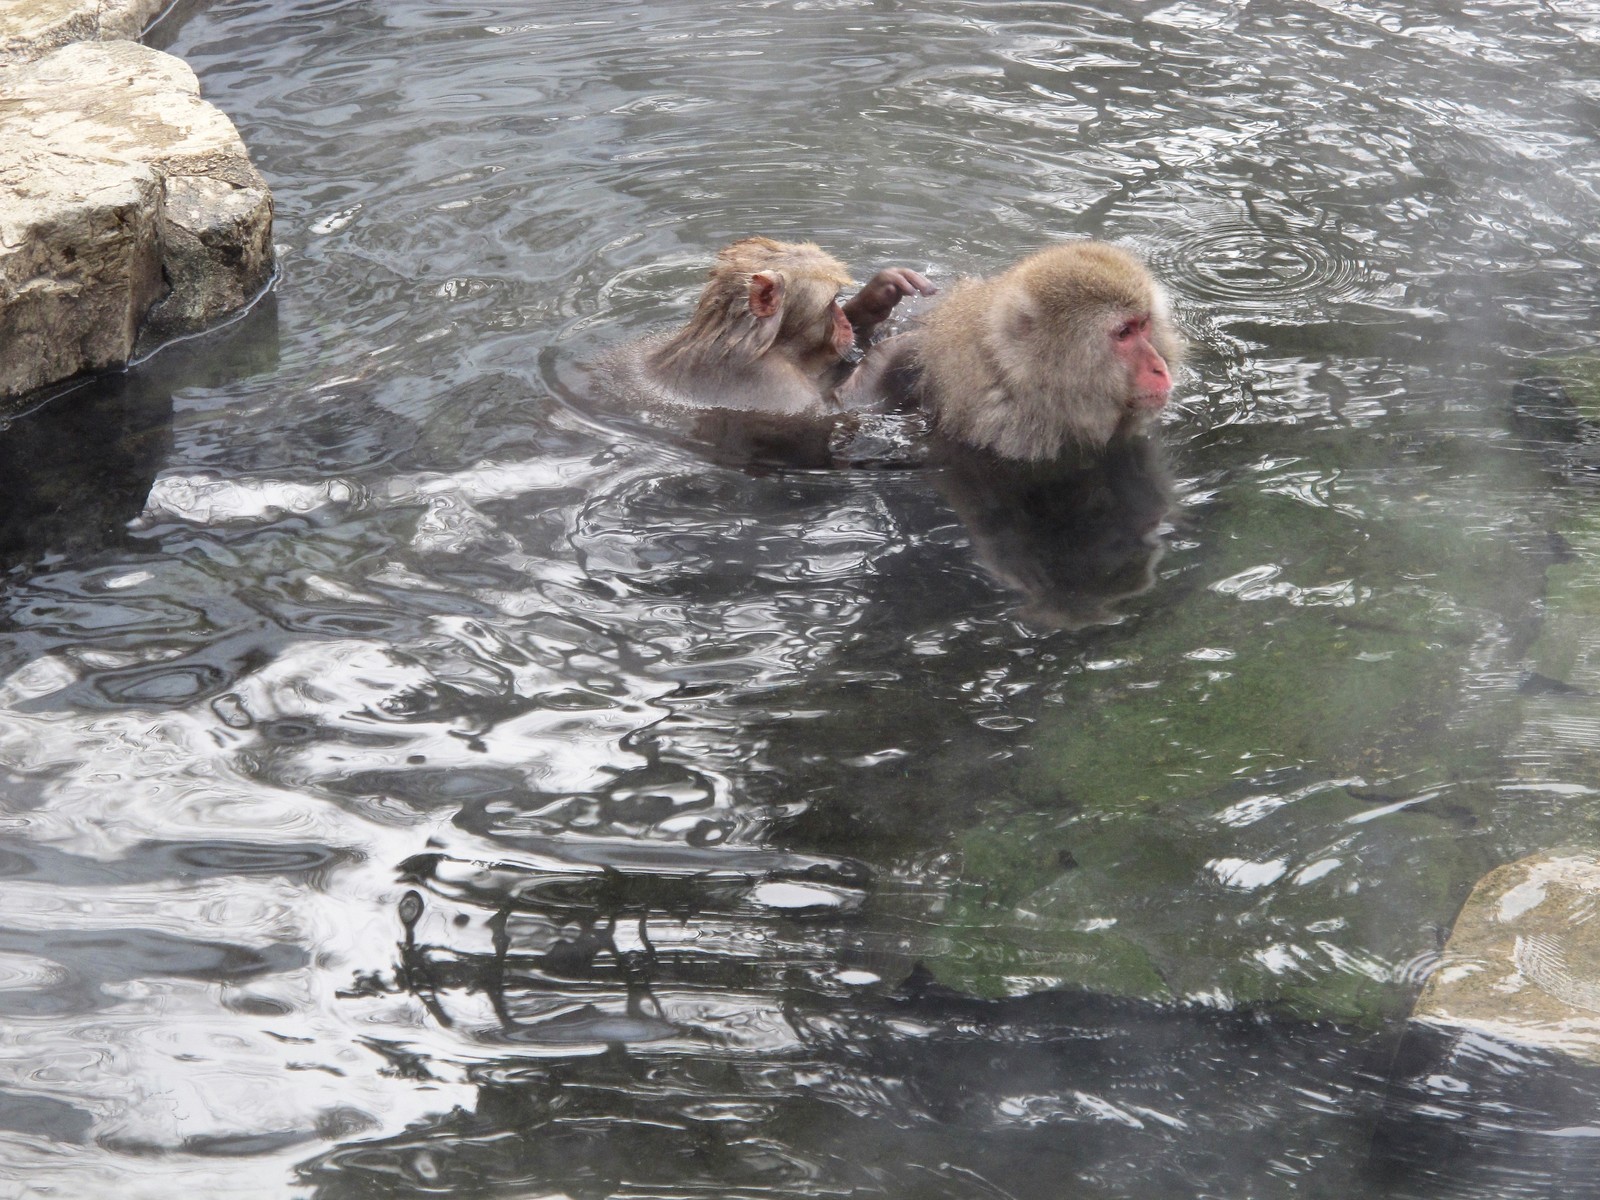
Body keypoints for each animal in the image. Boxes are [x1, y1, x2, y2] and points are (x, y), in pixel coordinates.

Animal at [617, 238, 934, 419]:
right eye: (830, 303)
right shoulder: (770, 378)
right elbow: (833, 410)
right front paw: (904, 347)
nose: (844, 324)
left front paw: (878, 296)